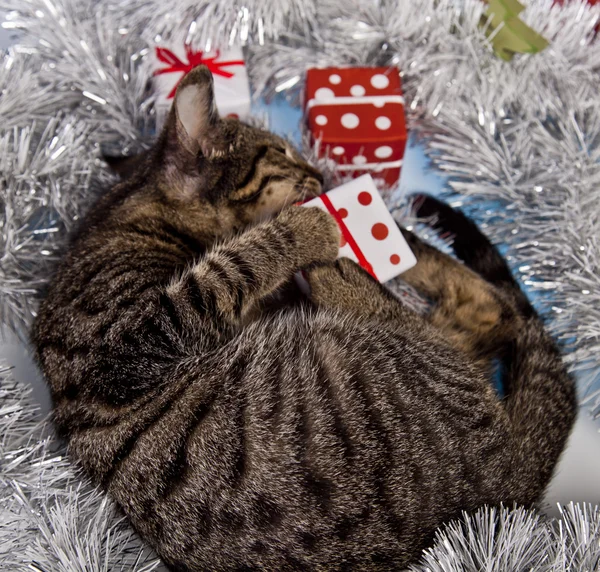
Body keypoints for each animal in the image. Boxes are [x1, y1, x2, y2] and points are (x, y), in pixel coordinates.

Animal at [32, 66, 576, 568]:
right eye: (283, 152)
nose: (321, 174)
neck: (125, 223)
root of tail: (503, 490)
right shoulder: (132, 340)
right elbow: (231, 267)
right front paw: (307, 225)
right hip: (398, 363)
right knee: (489, 308)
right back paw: (352, 255)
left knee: (492, 311)